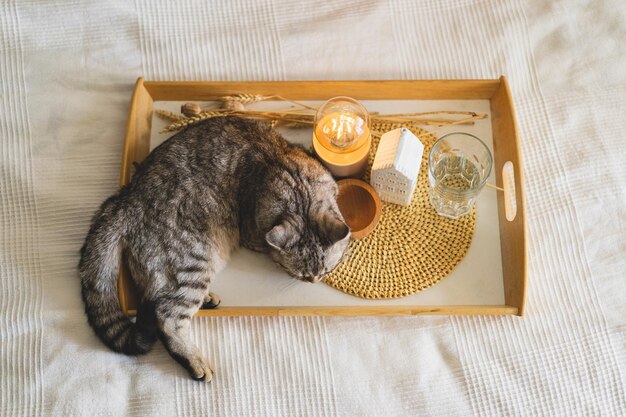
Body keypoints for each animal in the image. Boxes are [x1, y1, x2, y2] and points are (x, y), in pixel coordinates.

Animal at [77, 115, 348, 378]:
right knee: (166, 315)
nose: (313, 281)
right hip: (194, 260)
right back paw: (192, 358)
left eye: (325, 271)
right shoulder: (253, 232)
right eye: (299, 275)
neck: (298, 190)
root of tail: (126, 199)